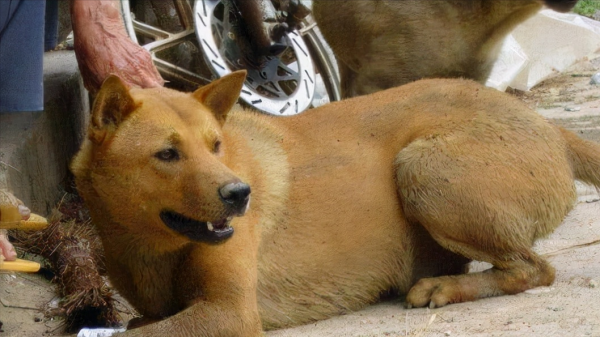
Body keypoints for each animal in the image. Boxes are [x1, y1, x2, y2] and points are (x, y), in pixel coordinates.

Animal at [71, 69, 600, 334]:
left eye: (215, 145)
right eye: (167, 154)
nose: (240, 194)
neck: (148, 246)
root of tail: (546, 123)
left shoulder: (229, 312)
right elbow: (138, 325)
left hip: (422, 170)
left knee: (535, 269)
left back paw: (443, 287)